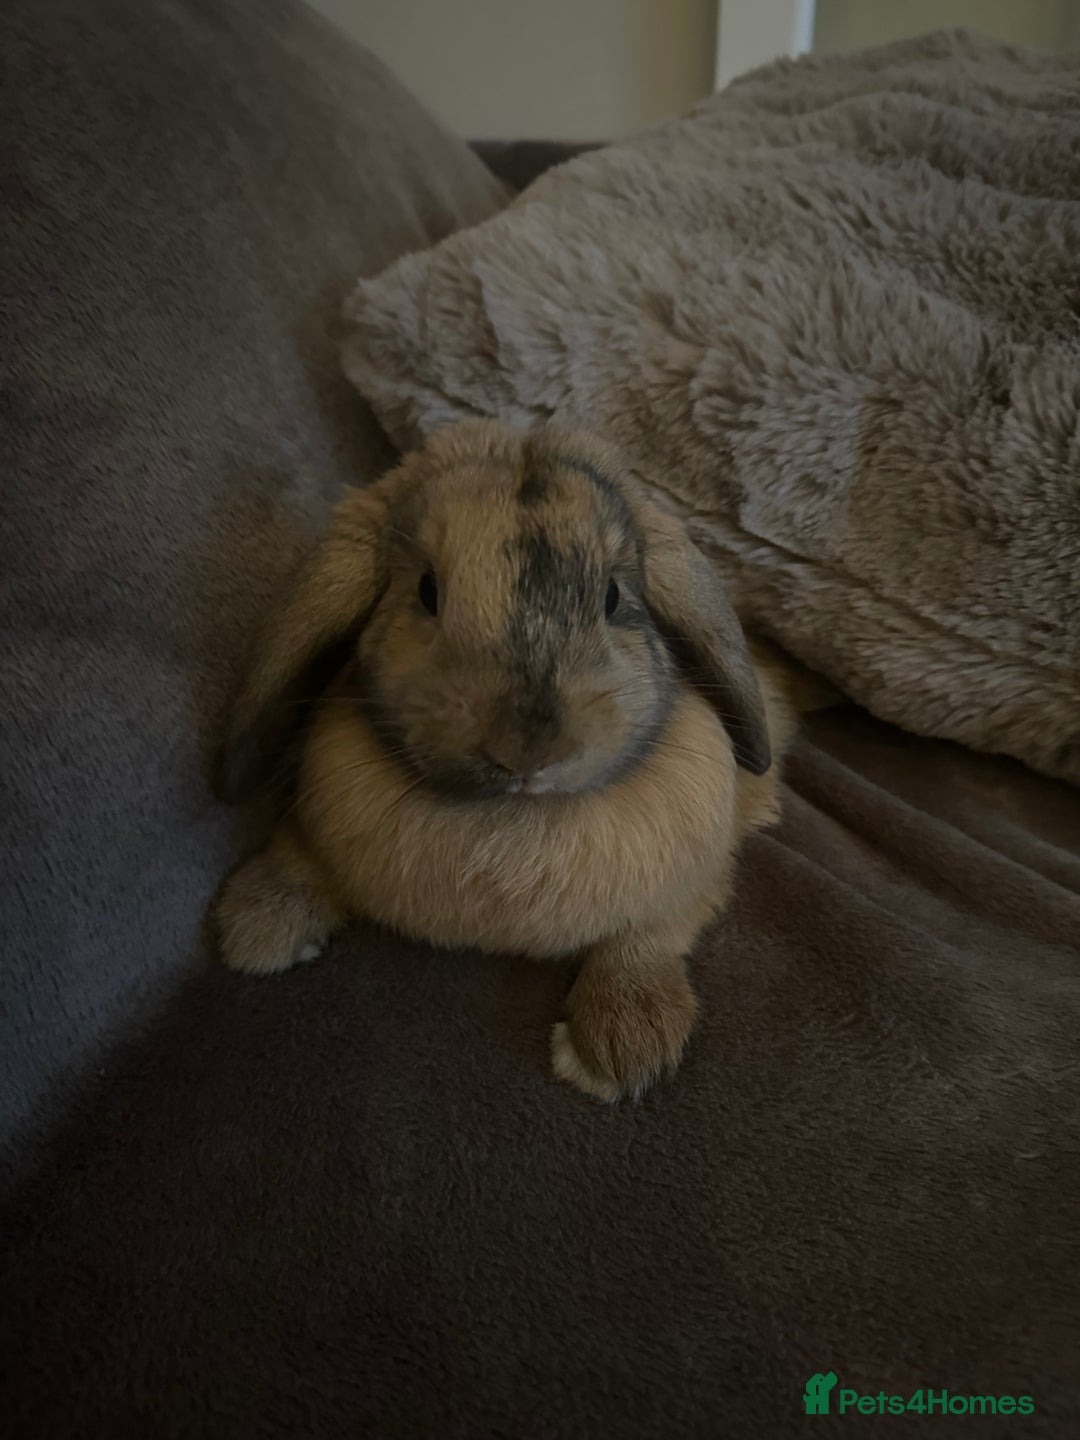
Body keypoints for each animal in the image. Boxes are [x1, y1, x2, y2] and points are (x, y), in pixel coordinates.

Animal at [211, 419, 802, 1102]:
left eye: (612, 596)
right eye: (427, 591)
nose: (527, 751)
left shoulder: (697, 877)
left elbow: (650, 935)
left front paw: (623, 1046)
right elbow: (298, 853)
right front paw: (256, 926)